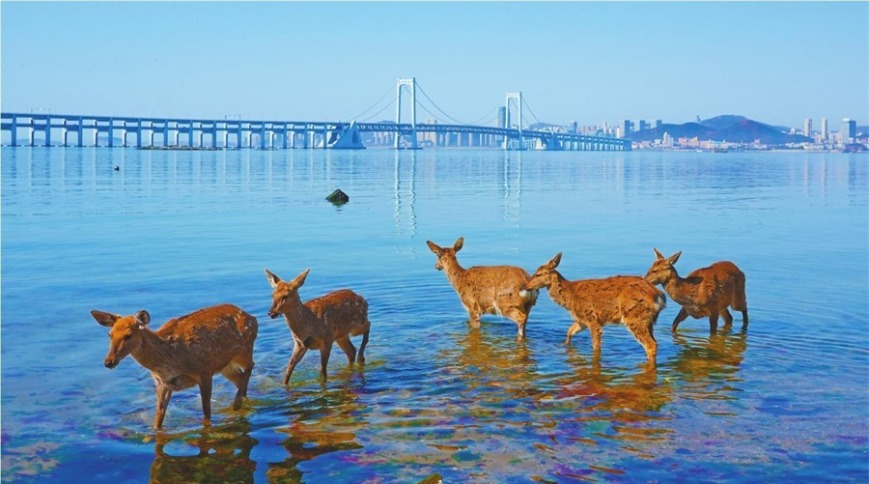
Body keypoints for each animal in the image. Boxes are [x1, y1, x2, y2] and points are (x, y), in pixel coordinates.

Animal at [91, 304, 257, 429]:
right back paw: (239, 401)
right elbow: (158, 417)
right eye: (110, 334)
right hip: (224, 366)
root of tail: (253, 318)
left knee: (250, 366)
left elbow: (206, 412)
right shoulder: (163, 382)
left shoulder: (204, 370)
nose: (108, 362)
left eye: (128, 335)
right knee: (240, 378)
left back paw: (237, 403)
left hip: (243, 349)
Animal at [525, 253, 665, 364]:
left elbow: (596, 346)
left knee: (650, 345)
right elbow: (569, 332)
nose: (527, 286)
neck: (570, 296)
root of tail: (659, 296)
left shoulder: (592, 318)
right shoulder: (581, 320)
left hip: (635, 317)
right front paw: (564, 346)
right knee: (655, 343)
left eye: (538, 274)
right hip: (648, 320)